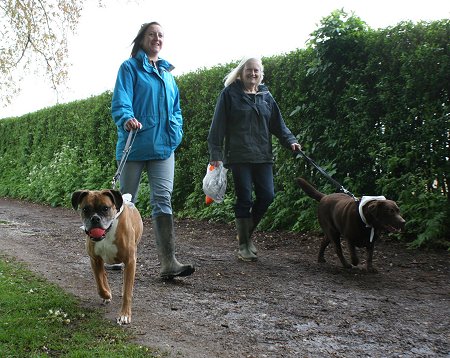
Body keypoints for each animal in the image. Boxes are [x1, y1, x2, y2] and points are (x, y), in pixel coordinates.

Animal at [71, 190, 142, 324]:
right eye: (85, 209)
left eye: (105, 208)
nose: (95, 218)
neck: (107, 232)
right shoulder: (95, 260)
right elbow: (99, 283)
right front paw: (107, 295)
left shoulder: (130, 261)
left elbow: (127, 292)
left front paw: (124, 315)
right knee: (103, 276)